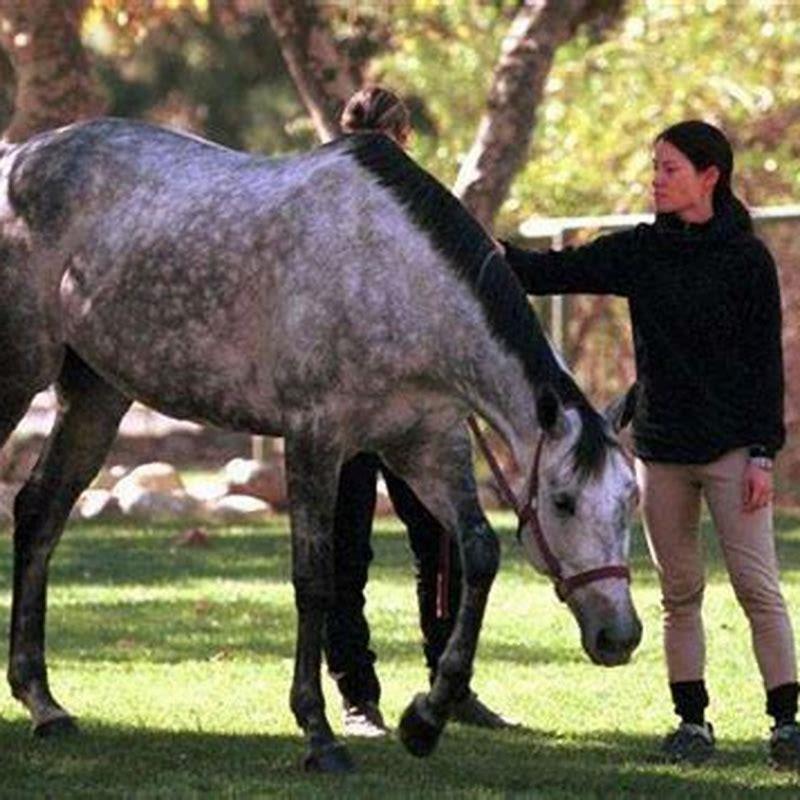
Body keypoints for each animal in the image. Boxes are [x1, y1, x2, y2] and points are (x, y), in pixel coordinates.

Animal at [0, 118, 641, 772]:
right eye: (563, 501)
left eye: (628, 501)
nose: (620, 636)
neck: (396, 278)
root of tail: (19, 157)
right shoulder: (314, 439)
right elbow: (315, 579)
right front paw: (318, 732)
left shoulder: (427, 447)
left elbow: (479, 554)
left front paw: (425, 719)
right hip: (20, 375)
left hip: (96, 395)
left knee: (39, 513)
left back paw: (44, 704)